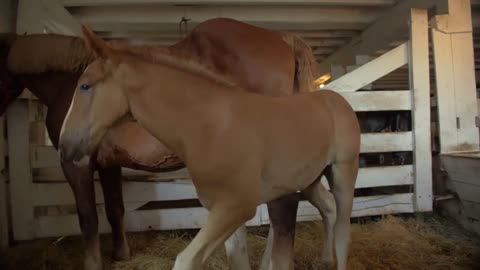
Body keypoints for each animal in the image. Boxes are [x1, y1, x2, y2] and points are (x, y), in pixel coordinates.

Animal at [0, 17, 334, 268]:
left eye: (85, 87)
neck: (65, 84)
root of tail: (282, 39)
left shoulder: (78, 164)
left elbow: (88, 218)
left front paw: (93, 264)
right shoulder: (108, 165)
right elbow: (114, 209)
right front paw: (120, 255)